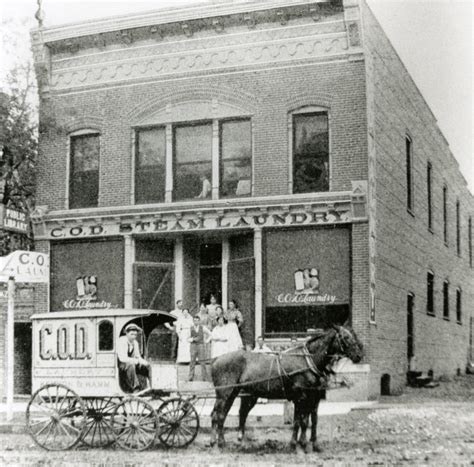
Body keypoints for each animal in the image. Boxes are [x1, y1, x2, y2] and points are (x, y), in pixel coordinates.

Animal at [209, 328, 362, 452]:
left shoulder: (313, 398)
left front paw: (311, 444)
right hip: (225, 394)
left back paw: (227, 442)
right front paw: (298, 444)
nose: (359, 356)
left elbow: (311, 421)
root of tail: (216, 359)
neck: (308, 361)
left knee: (228, 415)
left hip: (236, 394)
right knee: (218, 415)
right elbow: (300, 422)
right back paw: (218, 443)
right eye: (345, 337)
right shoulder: (301, 398)